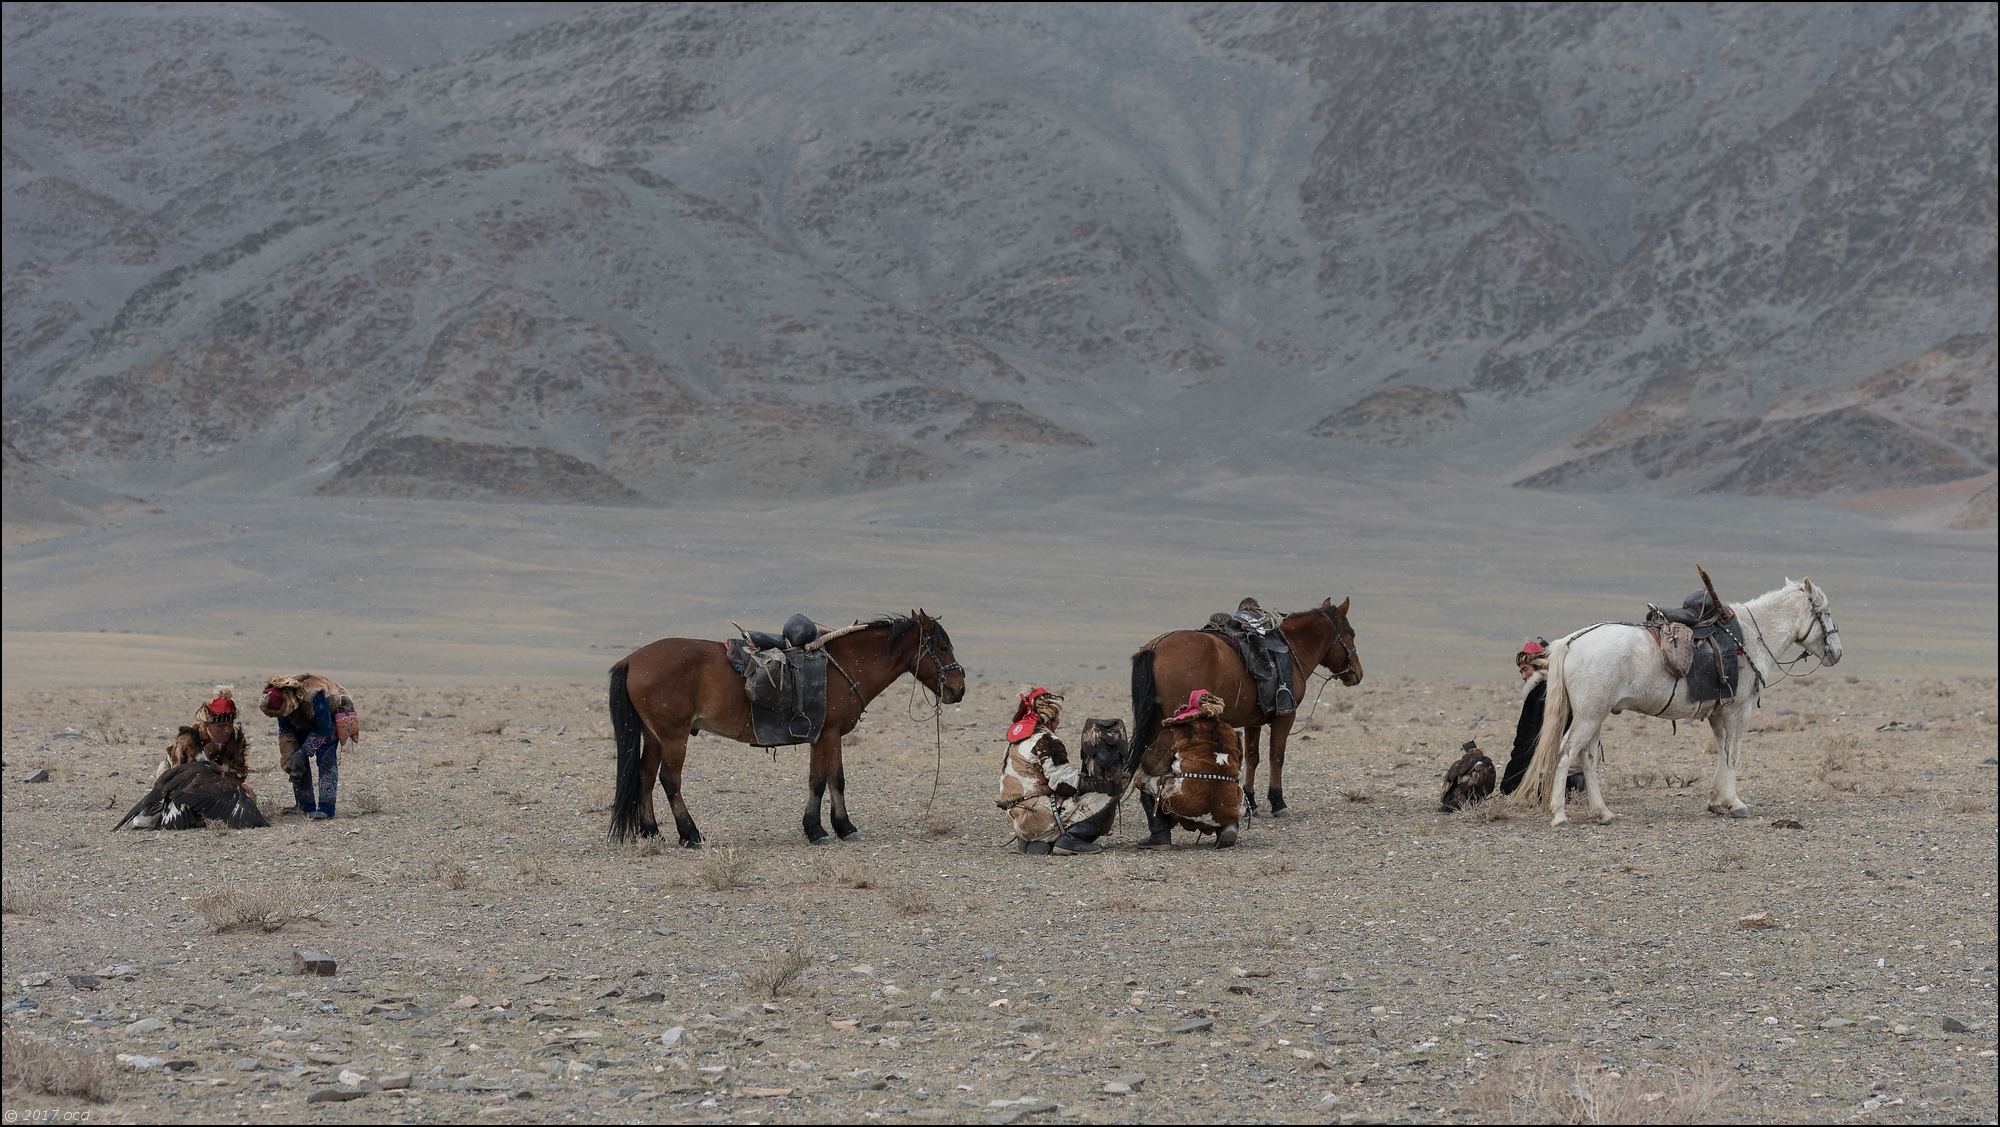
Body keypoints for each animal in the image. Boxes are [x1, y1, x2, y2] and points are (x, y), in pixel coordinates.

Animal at [604, 615, 964, 847]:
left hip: (654, 737)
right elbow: (823, 781)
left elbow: (832, 779)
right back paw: (690, 834)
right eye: (942, 646)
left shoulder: (827, 736)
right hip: (673, 737)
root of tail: (632, 660)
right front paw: (819, 830)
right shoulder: (828, 734)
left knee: (645, 777)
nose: (959, 688)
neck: (846, 665)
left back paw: (651, 831)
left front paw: (840, 827)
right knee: (669, 781)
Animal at [1128, 599, 1360, 819]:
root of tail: (1155, 646)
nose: (1358, 673)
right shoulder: (1285, 717)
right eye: (1352, 634)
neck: (1292, 649)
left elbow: (1252, 758)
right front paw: (1278, 802)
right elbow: (1277, 756)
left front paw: (1251, 802)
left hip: (1157, 722)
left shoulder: (1253, 722)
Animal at [1512, 579, 1840, 827]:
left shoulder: (1718, 712)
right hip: (1588, 715)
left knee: (1588, 758)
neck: (1750, 636)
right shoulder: (1739, 709)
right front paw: (1734, 803)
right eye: (1824, 612)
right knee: (1567, 753)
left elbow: (1722, 751)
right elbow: (1733, 754)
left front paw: (1717, 801)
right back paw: (1559, 815)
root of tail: (1571, 641)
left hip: (1595, 716)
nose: (1837, 653)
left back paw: (1603, 813)